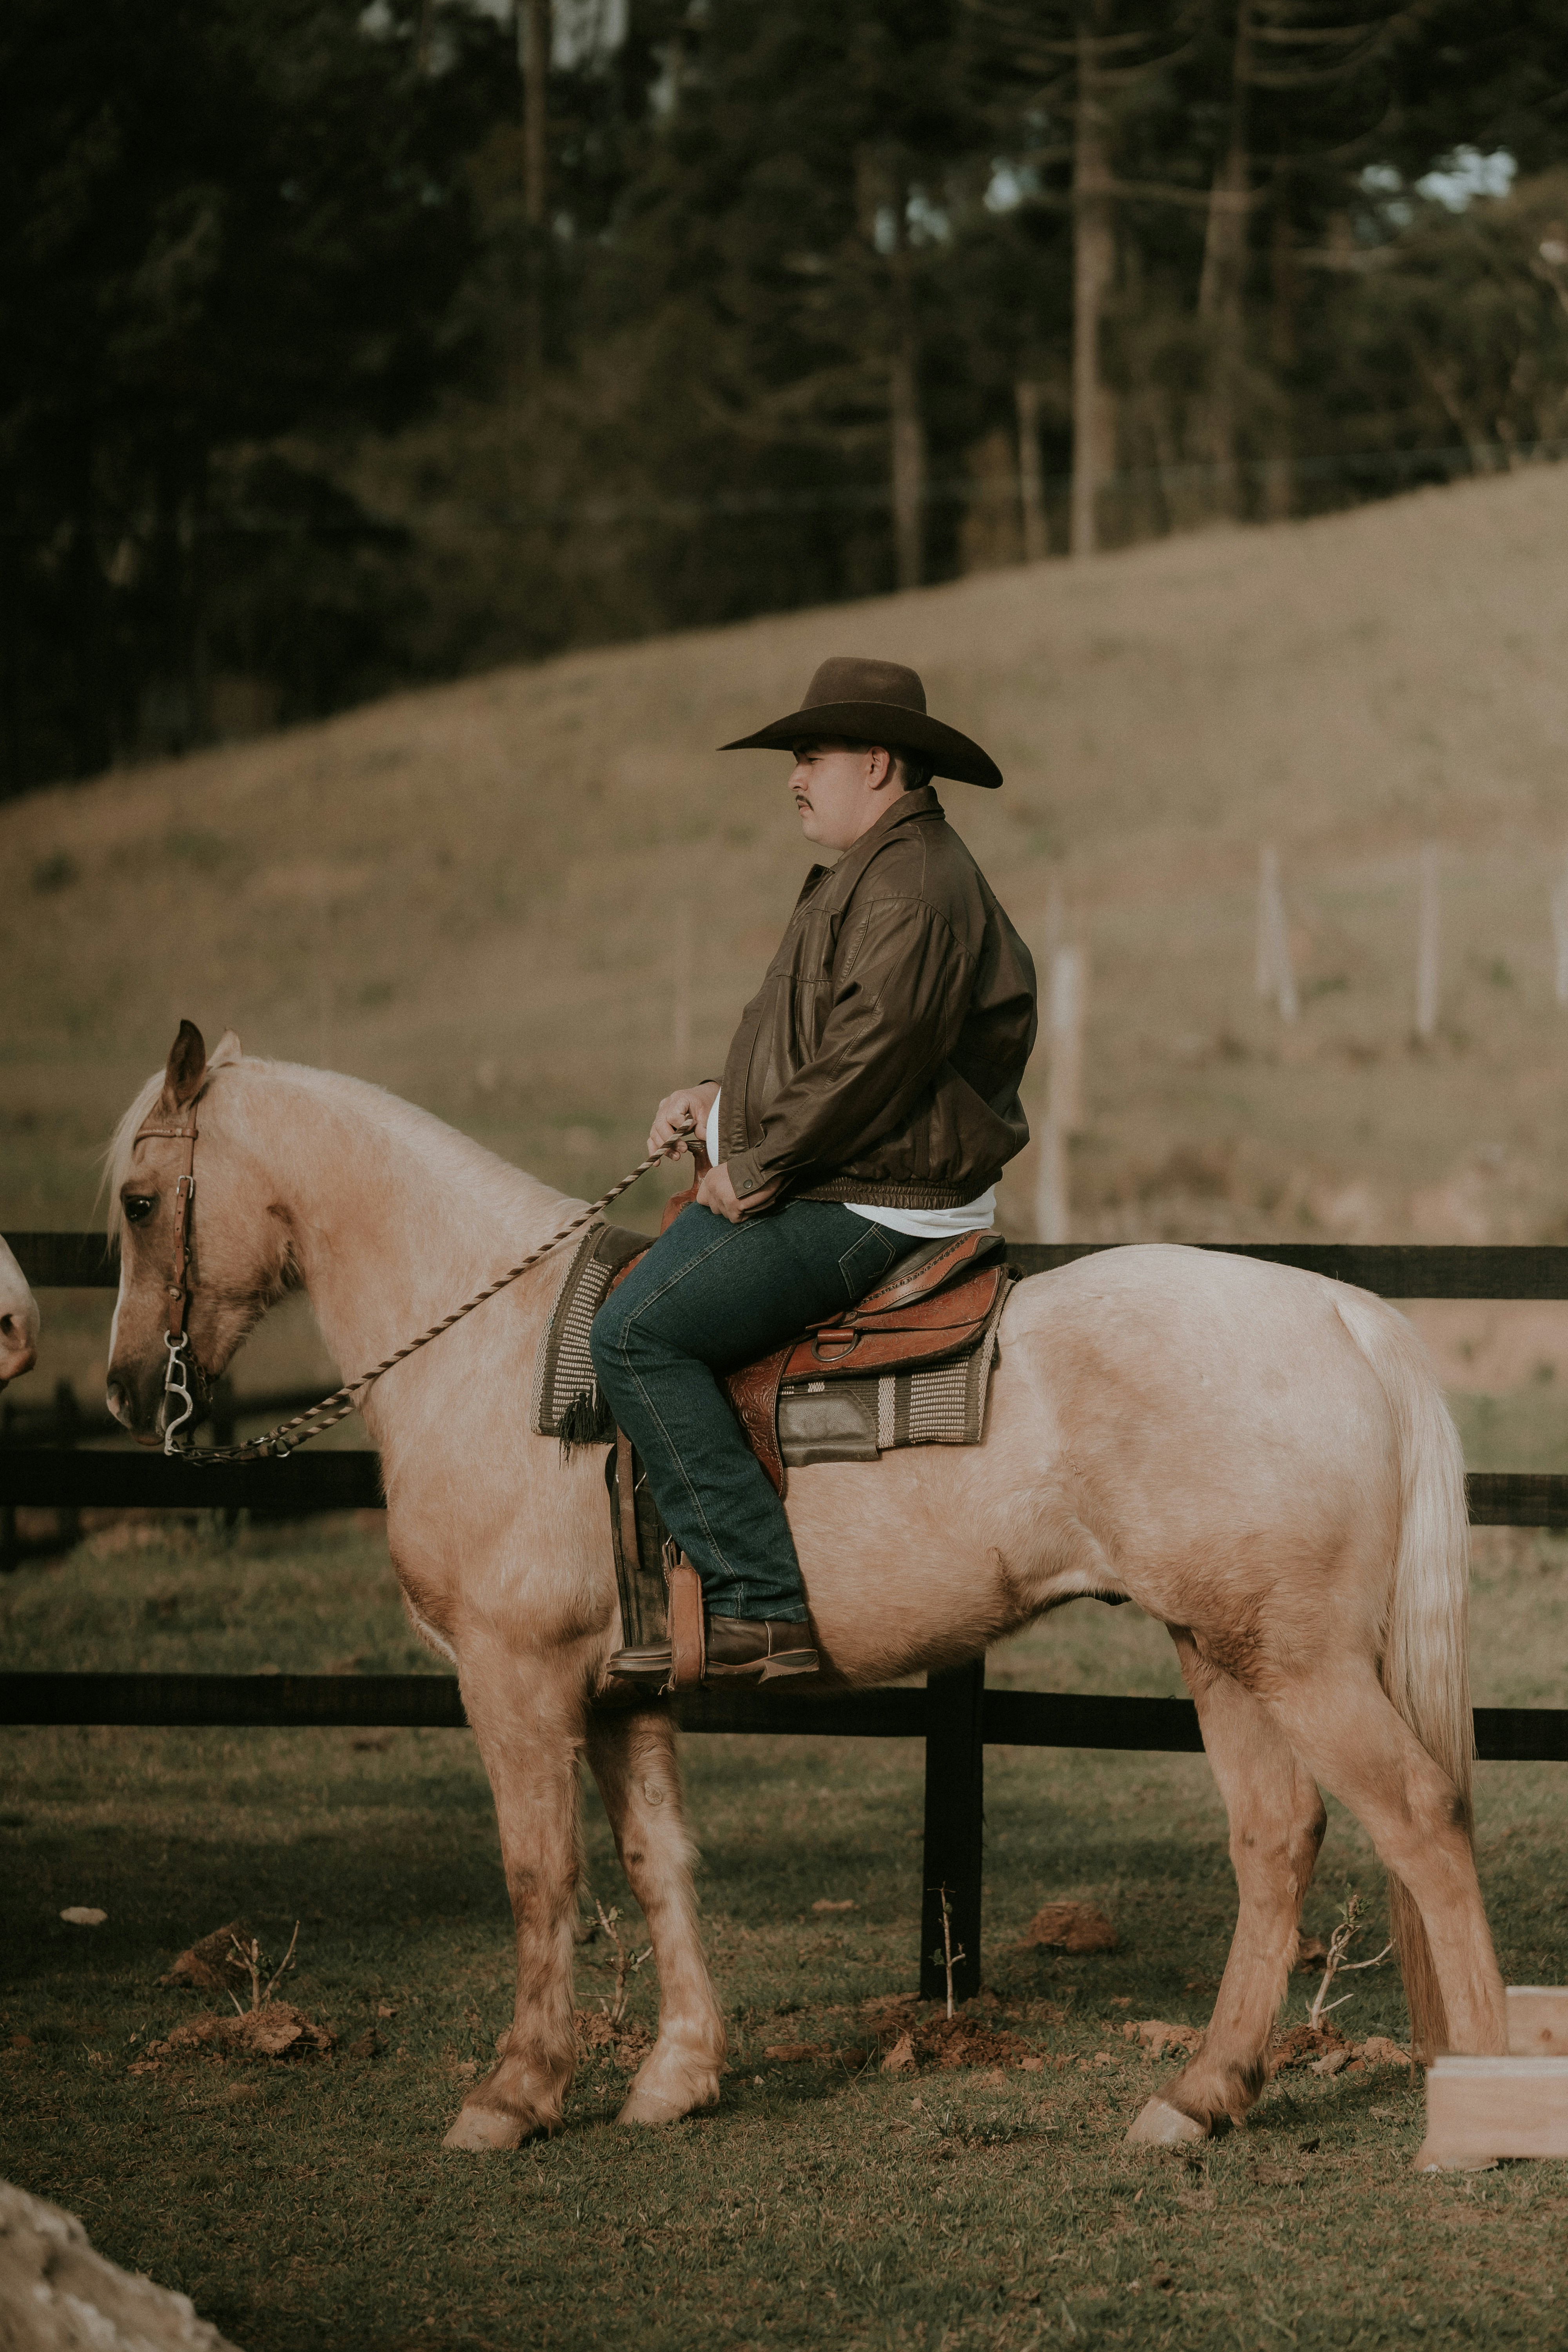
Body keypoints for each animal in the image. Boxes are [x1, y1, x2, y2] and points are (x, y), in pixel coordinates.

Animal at [103, 1023, 1506, 2156]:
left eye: (136, 1199)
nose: (124, 1392)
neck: (496, 1354)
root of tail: (1341, 1314)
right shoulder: (621, 1693)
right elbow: (654, 1858)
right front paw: (677, 2077)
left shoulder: (516, 1677)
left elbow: (539, 1874)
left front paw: (511, 2096)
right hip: (1220, 1647)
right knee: (1276, 1840)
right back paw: (1198, 2095)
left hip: (1301, 1661)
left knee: (1421, 1820)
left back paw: (1482, 2097)